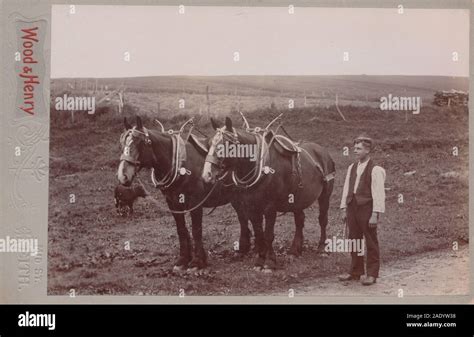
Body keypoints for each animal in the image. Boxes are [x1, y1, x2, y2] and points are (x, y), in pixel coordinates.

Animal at [202, 115, 336, 270]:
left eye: (227, 144)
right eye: (209, 143)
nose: (207, 175)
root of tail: (322, 151)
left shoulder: (270, 208)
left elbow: (268, 235)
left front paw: (271, 261)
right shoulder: (252, 207)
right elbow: (259, 233)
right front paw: (260, 259)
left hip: (325, 195)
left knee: (322, 219)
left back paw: (321, 248)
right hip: (298, 198)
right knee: (299, 220)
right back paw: (294, 250)